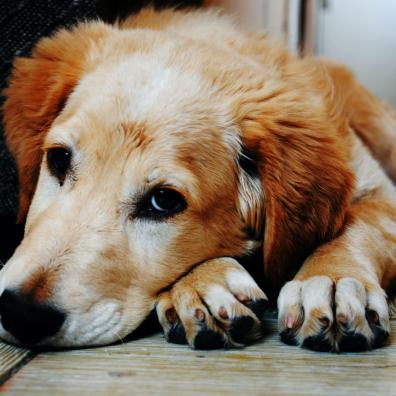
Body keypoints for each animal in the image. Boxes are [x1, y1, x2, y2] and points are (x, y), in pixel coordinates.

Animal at [0, 1, 396, 352]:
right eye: (58, 159)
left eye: (163, 201)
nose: (20, 313)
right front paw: (205, 283)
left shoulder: (381, 191)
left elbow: (360, 226)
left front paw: (332, 279)